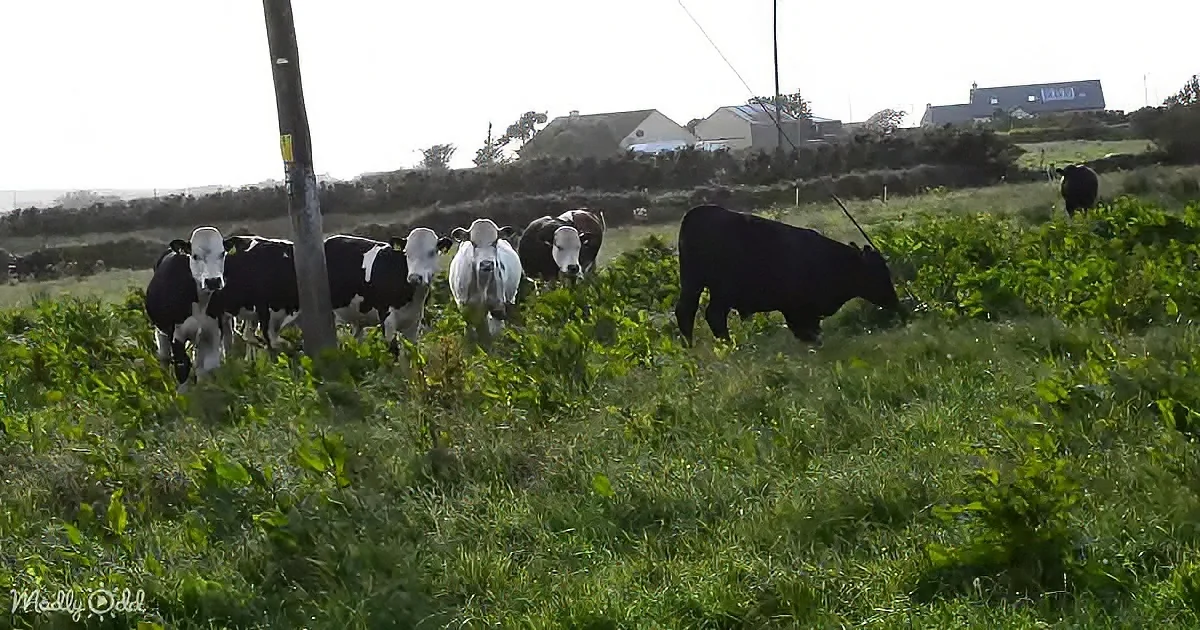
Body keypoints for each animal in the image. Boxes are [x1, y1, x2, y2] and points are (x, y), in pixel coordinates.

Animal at [143, 226, 234, 390]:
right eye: (195, 256)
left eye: (222, 253)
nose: (213, 281)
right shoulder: (176, 335)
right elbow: (182, 366)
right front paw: (182, 395)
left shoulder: (212, 332)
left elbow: (209, 366)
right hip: (161, 331)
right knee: (164, 356)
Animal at [323, 227, 453, 354]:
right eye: (406, 253)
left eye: (431, 252)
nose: (414, 278)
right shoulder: (386, 319)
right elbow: (393, 352)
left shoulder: (414, 323)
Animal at [674, 204, 902, 347]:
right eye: (878, 272)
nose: (894, 302)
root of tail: (695, 215)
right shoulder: (797, 309)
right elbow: (806, 329)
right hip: (721, 290)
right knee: (713, 315)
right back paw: (729, 345)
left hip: (692, 284)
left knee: (685, 312)